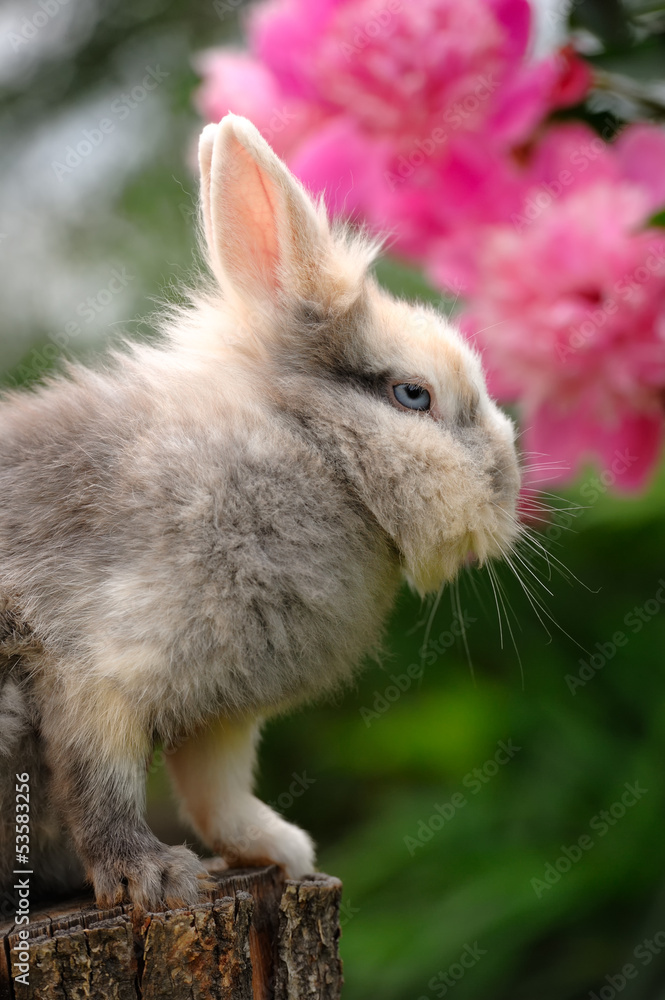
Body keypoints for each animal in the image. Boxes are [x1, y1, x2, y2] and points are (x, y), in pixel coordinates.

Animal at [0, 114, 520, 911]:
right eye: (412, 395)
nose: (508, 491)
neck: (316, 455)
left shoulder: (220, 716)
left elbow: (217, 795)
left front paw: (283, 854)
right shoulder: (95, 669)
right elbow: (101, 786)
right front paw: (154, 878)